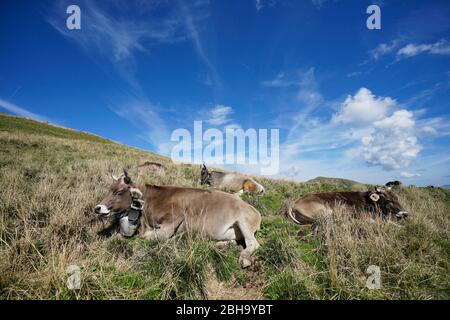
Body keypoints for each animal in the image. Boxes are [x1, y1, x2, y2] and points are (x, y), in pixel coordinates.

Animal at [96, 169, 264, 268]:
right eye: (109, 189)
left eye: (119, 192)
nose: (98, 208)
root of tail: (255, 210)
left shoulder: (173, 221)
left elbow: (150, 237)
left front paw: (174, 239)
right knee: (236, 241)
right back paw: (220, 245)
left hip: (244, 221)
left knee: (253, 243)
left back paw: (244, 258)